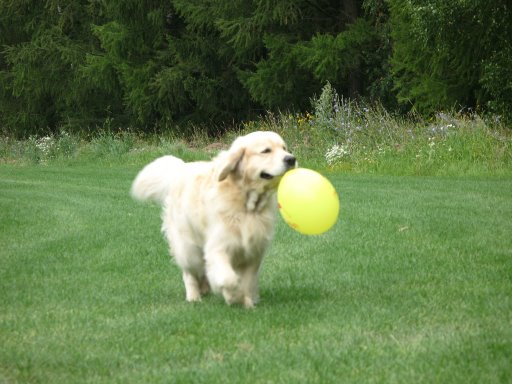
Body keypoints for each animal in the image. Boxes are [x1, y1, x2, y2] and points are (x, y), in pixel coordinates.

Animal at [131, 130, 296, 308]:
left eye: (284, 148)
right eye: (266, 151)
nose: (291, 159)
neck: (246, 204)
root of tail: (180, 169)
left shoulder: (254, 252)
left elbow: (247, 282)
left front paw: (247, 303)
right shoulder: (218, 248)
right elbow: (229, 279)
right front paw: (232, 296)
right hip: (188, 247)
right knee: (189, 272)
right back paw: (194, 296)